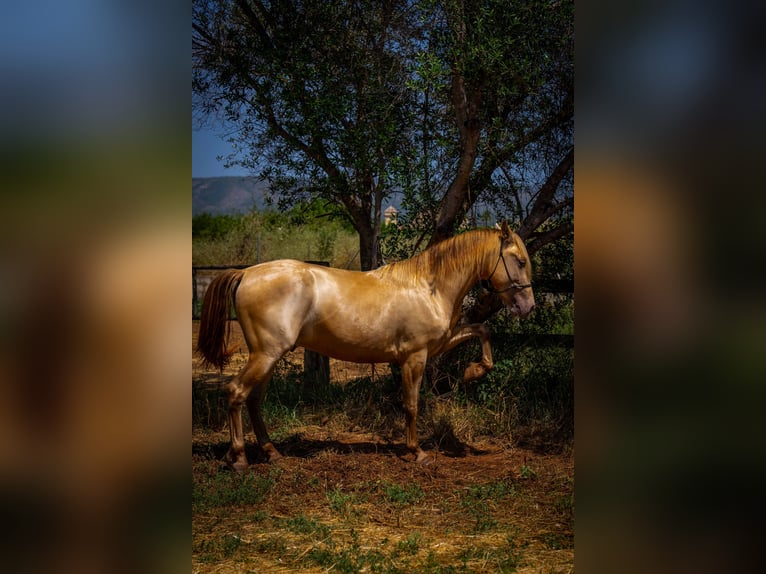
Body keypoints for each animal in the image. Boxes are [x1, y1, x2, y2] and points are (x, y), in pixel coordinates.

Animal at [196, 221, 535, 468]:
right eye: (519, 261)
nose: (528, 306)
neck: (430, 287)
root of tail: (246, 272)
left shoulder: (439, 345)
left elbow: (483, 330)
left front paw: (472, 372)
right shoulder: (416, 357)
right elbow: (411, 404)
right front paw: (418, 452)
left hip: (269, 356)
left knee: (254, 400)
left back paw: (271, 453)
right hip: (265, 354)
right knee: (236, 392)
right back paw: (239, 458)